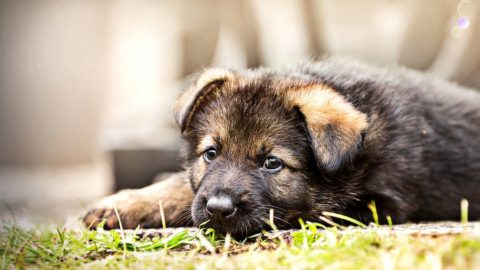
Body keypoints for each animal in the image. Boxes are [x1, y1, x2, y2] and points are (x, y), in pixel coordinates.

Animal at [82, 57, 480, 236]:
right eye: (211, 154)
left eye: (272, 163)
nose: (218, 208)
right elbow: (182, 186)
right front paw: (122, 204)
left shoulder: (378, 203)